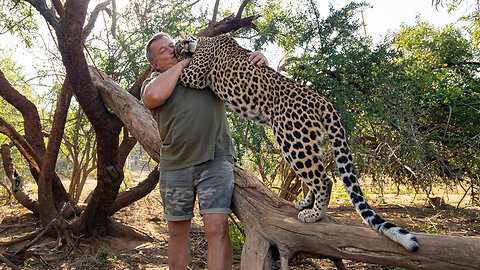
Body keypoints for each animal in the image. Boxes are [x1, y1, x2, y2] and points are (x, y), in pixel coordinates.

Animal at [174, 34, 418, 253]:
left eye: (179, 43)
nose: (182, 44)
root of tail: (321, 99)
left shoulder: (194, 74)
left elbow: (181, 71)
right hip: (309, 141)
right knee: (316, 178)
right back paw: (305, 204)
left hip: (293, 142)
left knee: (324, 180)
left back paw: (315, 215)